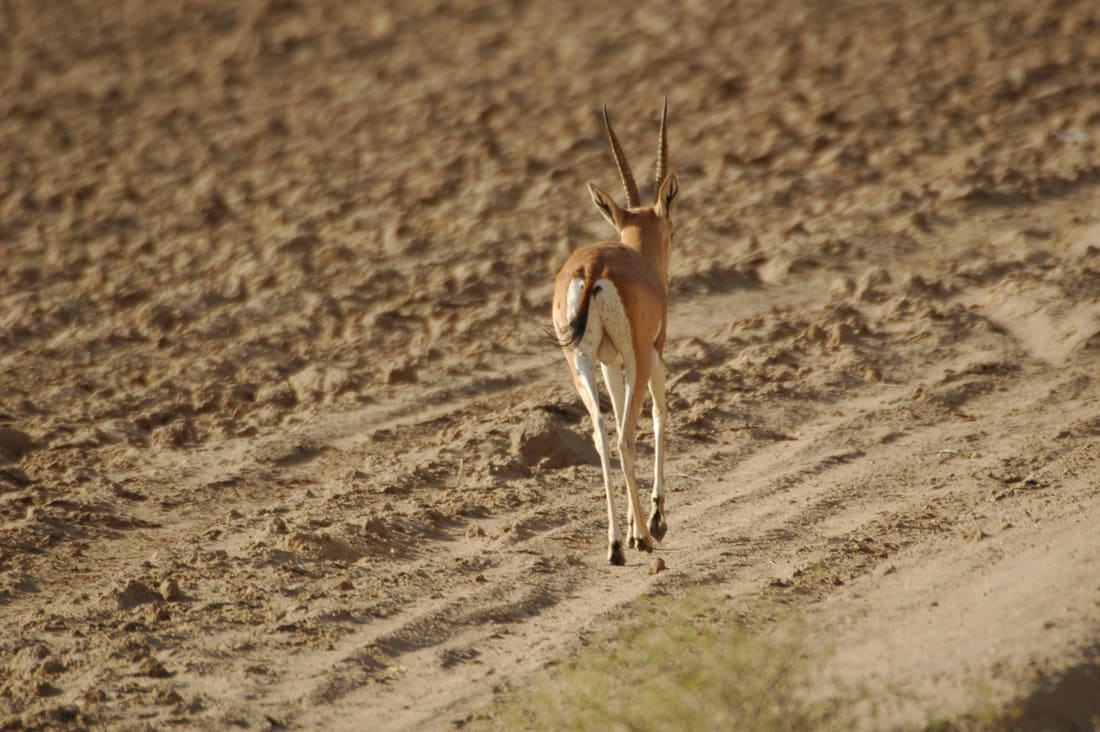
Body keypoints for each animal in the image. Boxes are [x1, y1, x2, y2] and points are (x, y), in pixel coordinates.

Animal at [552, 100, 679, 566]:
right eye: (672, 228)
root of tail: (592, 269)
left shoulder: (610, 362)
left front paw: (628, 528)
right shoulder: (653, 353)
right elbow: (659, 414)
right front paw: (654, 521)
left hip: (580, 363)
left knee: (600, 435)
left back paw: (613, 546)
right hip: (638, 358)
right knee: (624, 437)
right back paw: (641, 538)